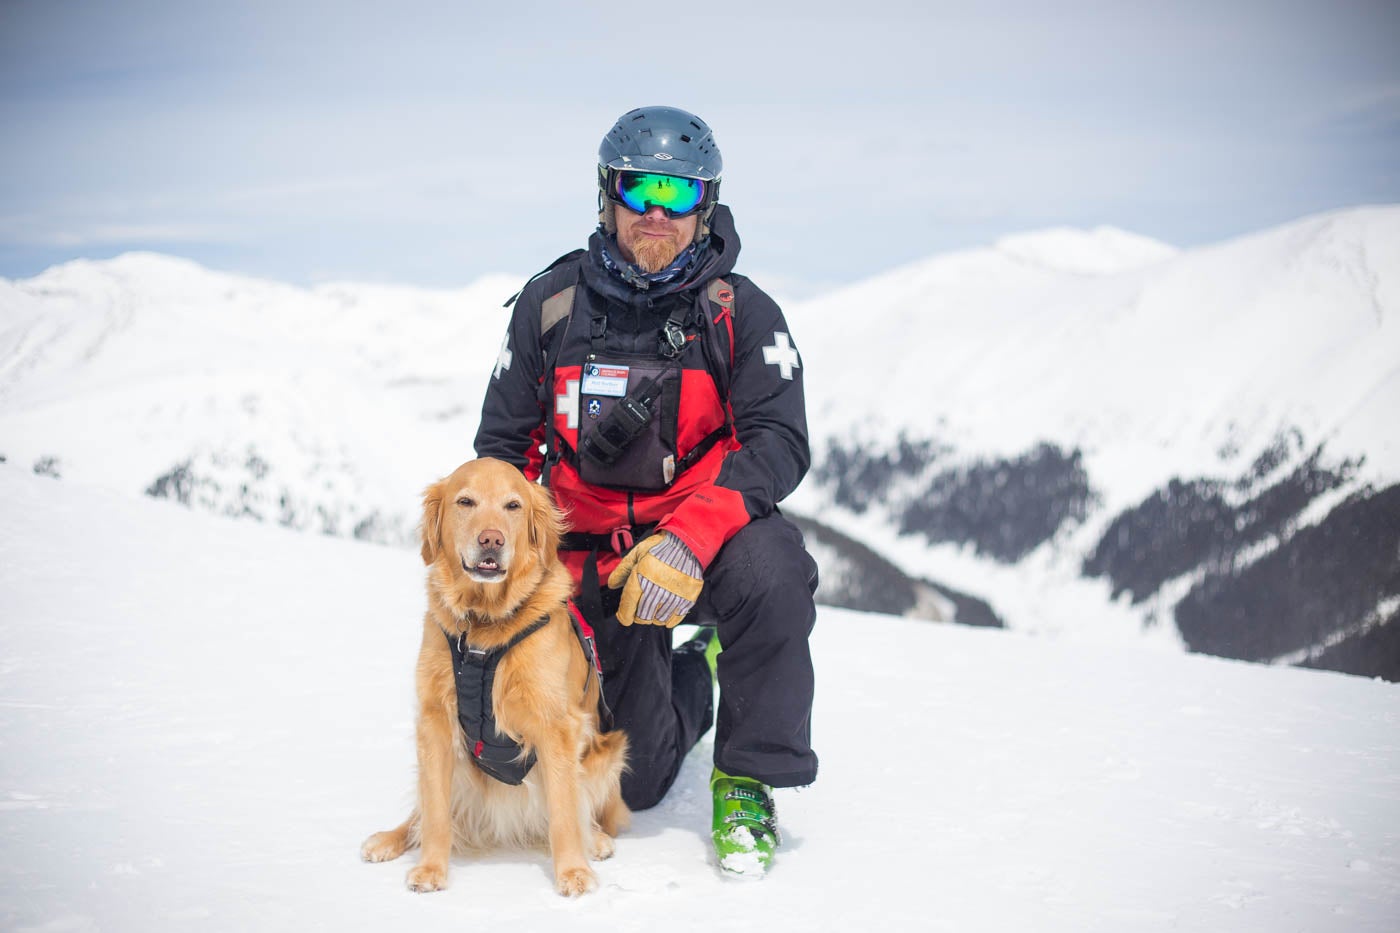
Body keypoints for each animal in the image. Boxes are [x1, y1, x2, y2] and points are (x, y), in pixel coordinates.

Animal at [361, 456, 630, 896]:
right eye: (465, 502)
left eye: (513, 506)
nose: (491, 540)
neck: (485, 625)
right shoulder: (434, 721)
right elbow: (435, 811)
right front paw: (431, 869)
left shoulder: (557, 727)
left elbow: (564, 811)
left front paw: (573, 871)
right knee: (421, 813)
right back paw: (387, 838)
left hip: (607, 752)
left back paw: (596, 840)